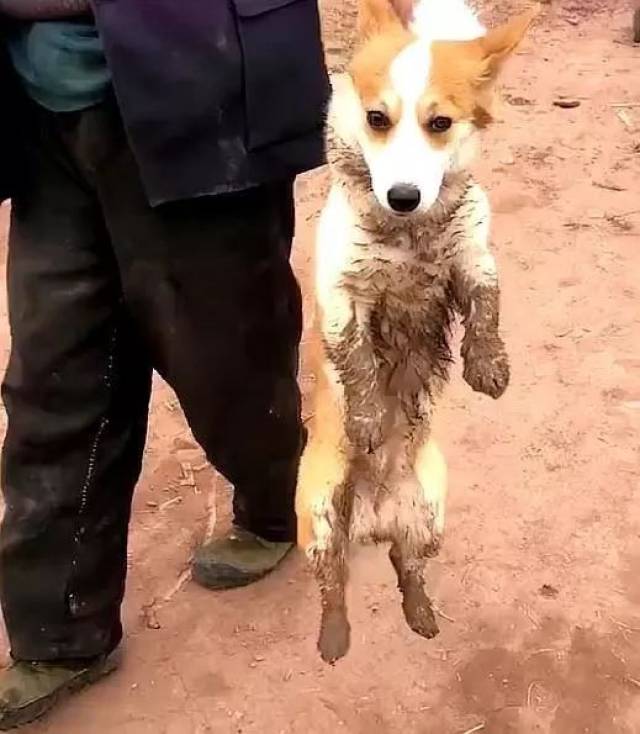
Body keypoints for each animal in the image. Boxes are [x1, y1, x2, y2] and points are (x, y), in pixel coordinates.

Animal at [296, 0, 536, 668]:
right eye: (377, 118)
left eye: (440, 123)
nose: (403, 196)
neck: (407, 237)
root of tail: (373, 520)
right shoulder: (341, 295)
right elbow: (355, 360)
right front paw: (369, 421)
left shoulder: (472, 257)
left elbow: (487, 304)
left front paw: (488, 367)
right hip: (318, 516)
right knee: (333, 584)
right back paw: (333, 637)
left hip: (430, 513)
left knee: (408, 568)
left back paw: (421, 613)